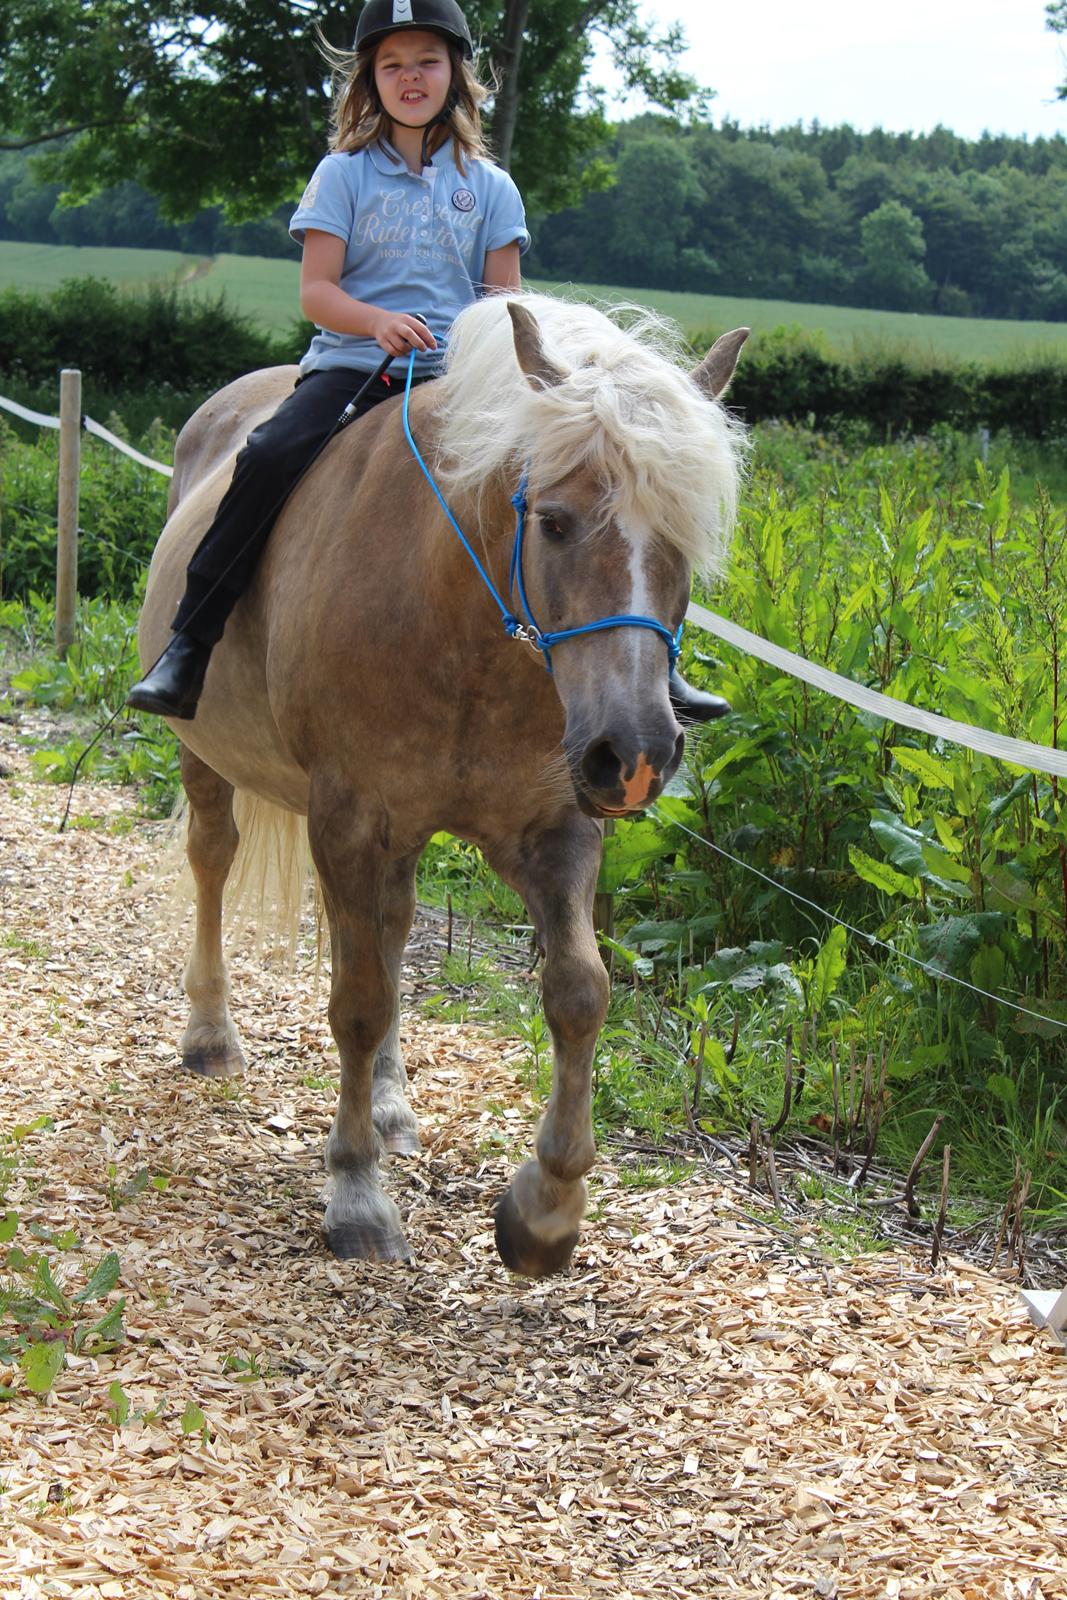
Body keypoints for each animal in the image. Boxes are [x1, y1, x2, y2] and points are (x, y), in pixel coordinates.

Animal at [137, 291, 748, 1273]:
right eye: (554, 521)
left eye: (685, 538)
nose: (634, 754)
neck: (455, 617)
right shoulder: (347, 819)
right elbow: (355, 1002)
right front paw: (354, 1194)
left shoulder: (553, 828)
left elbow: (578, 992)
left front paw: (544, 1213)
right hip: (211, 758)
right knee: (213, 862)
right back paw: (211, 1036)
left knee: (391, 929)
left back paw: (391, 1106)